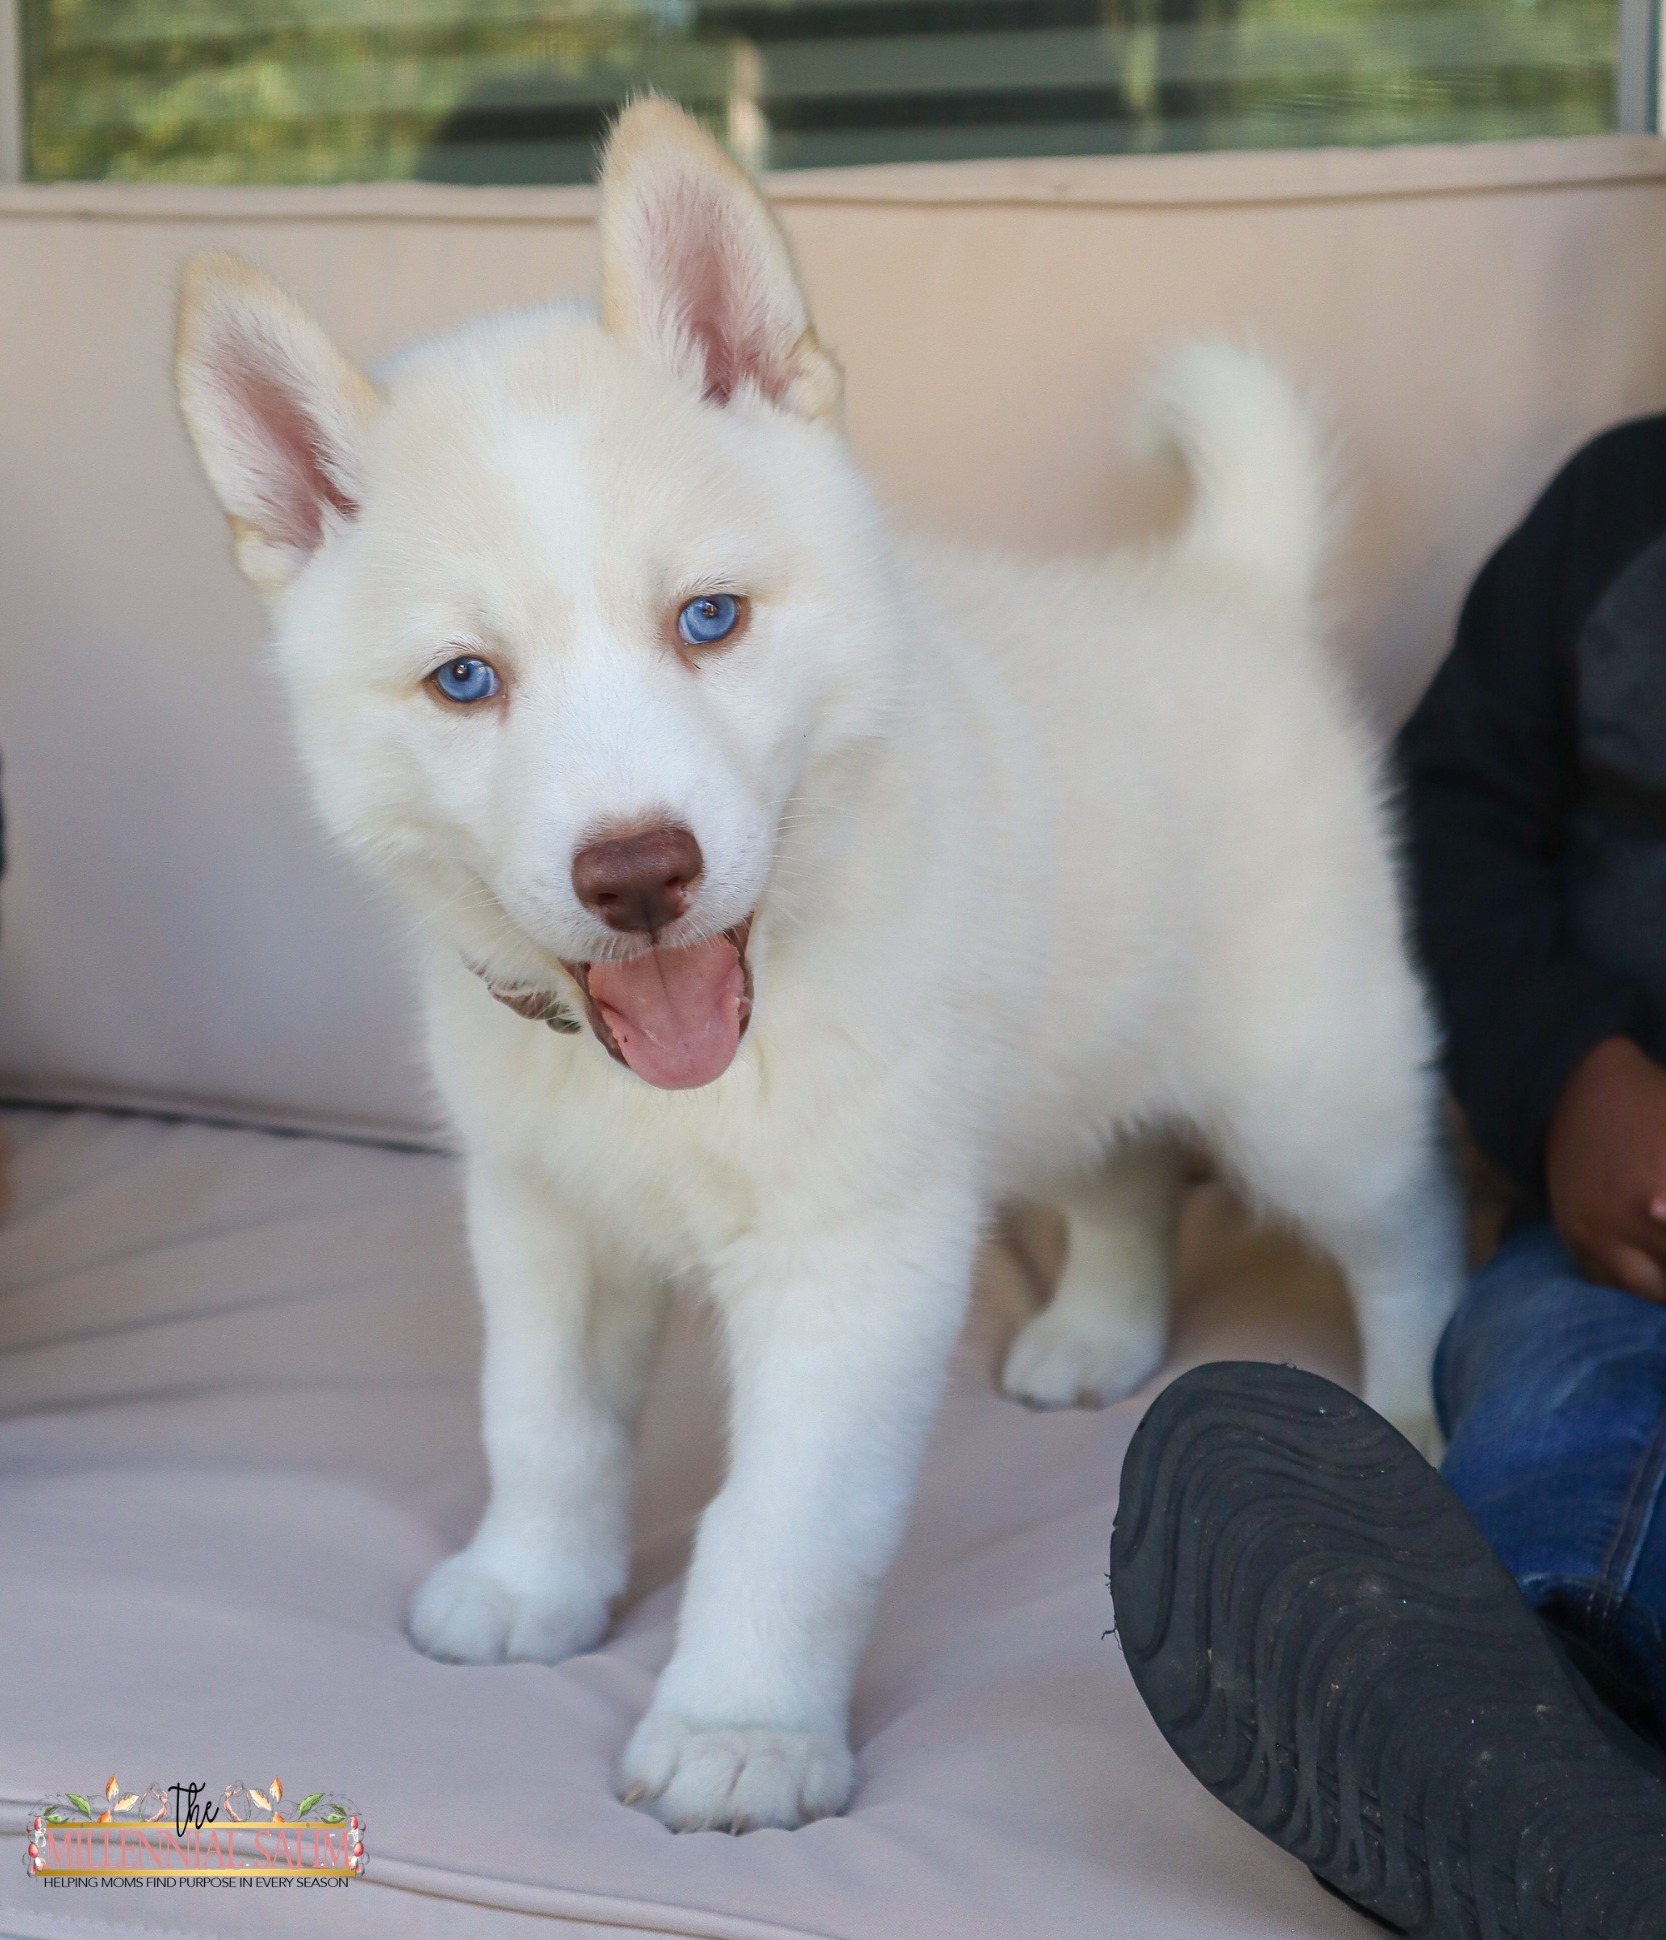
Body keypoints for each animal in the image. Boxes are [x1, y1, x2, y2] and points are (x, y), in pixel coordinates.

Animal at [175, 102, 1466, 1831]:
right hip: (1055, 1056)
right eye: (464, 681)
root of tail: (1222, 591)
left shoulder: (853, 1260)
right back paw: (1097, 1333)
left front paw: (742, 1729)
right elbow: (542, 1426)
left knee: (1404, 1224)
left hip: (1305, 1083)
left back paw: (1413, 1407)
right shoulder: (543, 1217)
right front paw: (530, 1585)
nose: (636, 872)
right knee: (1124, 1174)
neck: (683, 1062)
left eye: (708, 618)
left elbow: (785, 1523)